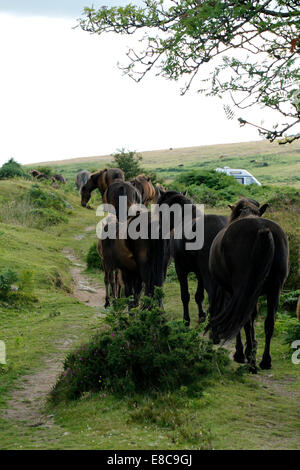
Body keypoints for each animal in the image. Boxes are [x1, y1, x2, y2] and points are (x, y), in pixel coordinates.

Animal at [157, 189, 227, 324]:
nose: (160, 229)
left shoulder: (181, 269)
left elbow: (185, 295)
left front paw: (186, 320)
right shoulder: (199, 273)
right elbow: (199, 296)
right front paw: (201, 315)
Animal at [209, 198, 288, 370]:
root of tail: (262, 230)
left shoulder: (232, 291)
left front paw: (241, 352)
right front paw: (251, 347)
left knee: (243, 318)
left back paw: (251, 361)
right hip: (274, 290)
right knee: (269, 323)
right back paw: (265, 361)